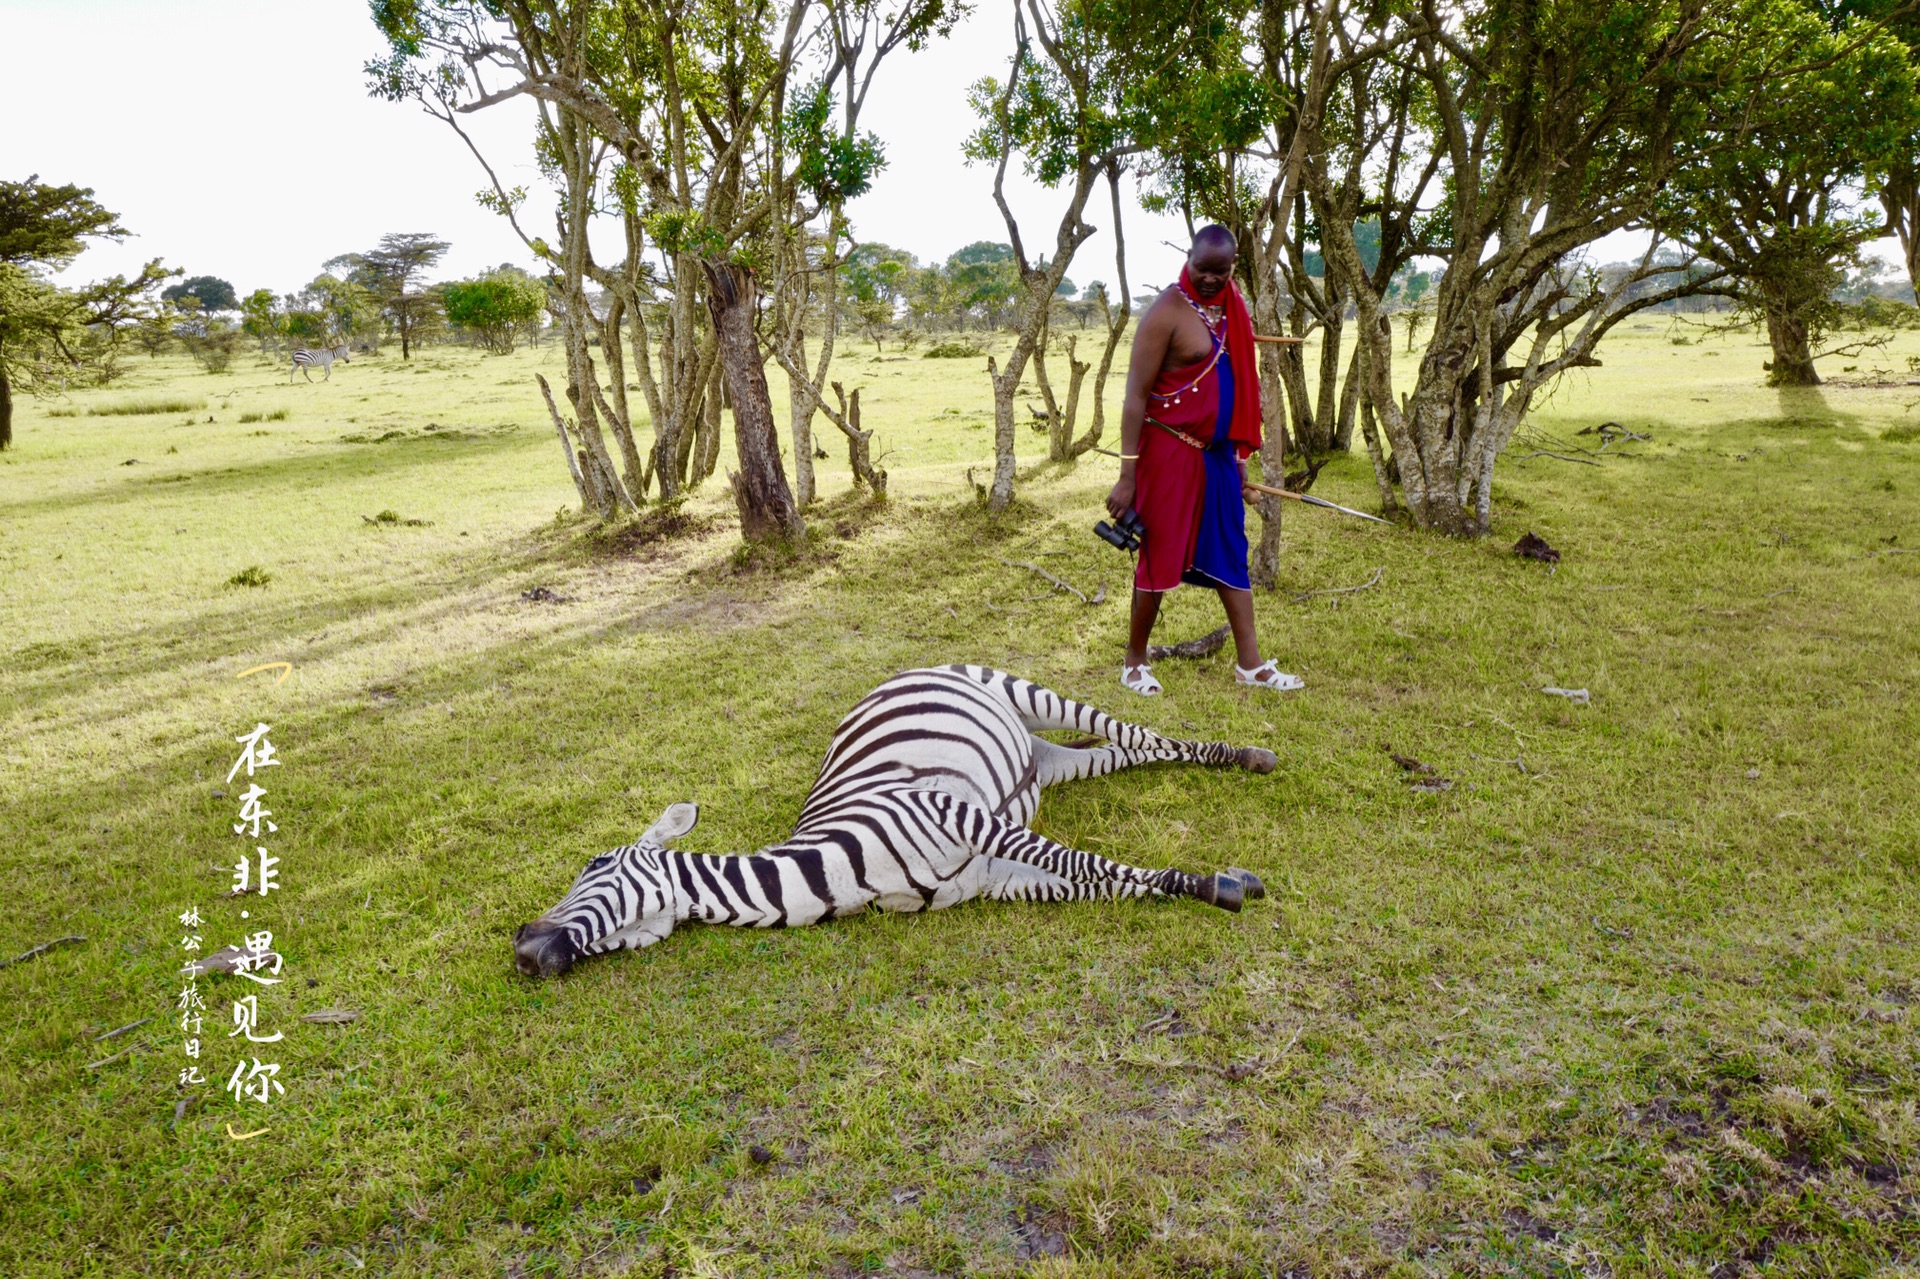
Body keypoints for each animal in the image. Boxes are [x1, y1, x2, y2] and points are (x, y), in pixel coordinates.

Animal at [510, 660, 1274, 971]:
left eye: (592, 865)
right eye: (629, 943)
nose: (521, 948)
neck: (839, 871)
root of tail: (892, 677)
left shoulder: (954, 810)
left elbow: (1076, 858)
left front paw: (1212, 884)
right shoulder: (992, 878)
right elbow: (1093, 881)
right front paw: (1194, 884)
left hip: (1025, 694)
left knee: (1137, 732)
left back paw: (1243, 753)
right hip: (1046, 759)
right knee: (1118, 750)